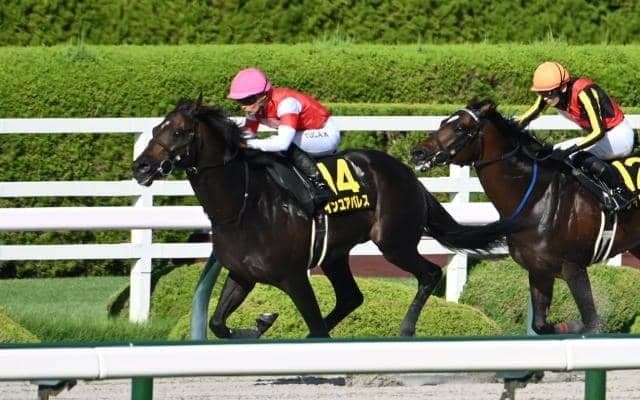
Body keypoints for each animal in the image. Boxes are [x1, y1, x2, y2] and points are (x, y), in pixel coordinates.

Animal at [132, 97, 514, 338]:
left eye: (177, 132)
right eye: (155, 129)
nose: (141, 167)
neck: (243, 205)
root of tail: (409, 175)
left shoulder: (294, 277)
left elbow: (314, 325)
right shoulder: (242, 275)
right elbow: (217, 323)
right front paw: (261, 323)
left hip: (394, 242)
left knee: (430, 273)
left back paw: (405, 329)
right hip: (335, 254)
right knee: (350, 297)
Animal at [411, 98, 640, 334]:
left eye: (460, 127)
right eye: (443, 122)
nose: (418, 152)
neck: (537, 197)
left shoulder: (573, 267)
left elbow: (592, 322)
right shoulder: (539, 271)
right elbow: (540, 324)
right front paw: (568, 326)